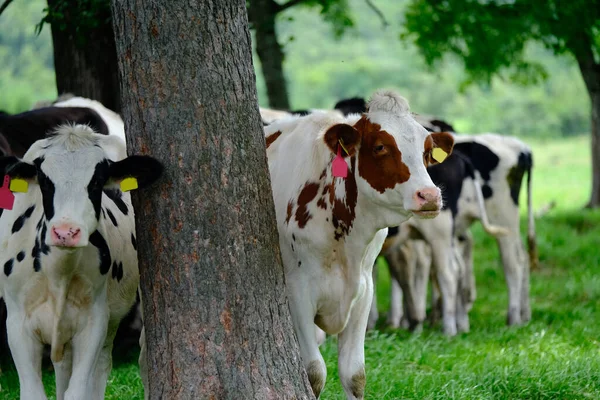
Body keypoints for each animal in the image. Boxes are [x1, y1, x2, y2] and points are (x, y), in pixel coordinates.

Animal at [0, 125, 162, 400]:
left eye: (96, 182)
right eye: (45, 181)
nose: (66, 232)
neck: (58, 271)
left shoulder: (93, 321)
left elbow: (78, 391)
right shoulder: (17, 324)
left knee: (123, 361)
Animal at [264, 89, 452, 398]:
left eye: (426, 152)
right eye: (380, 146)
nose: (429, 195)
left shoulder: (363, 291)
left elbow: (354, 374)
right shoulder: (297, 291)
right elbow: (315, 372)